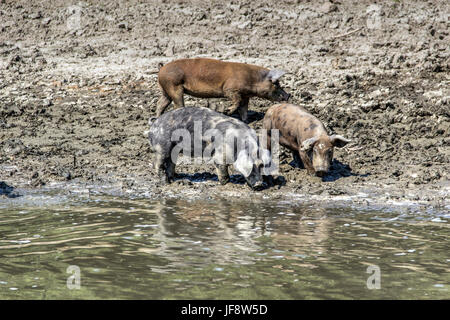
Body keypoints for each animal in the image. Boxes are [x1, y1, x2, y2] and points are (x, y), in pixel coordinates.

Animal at [155, 57, 290, 122]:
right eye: (276, 84)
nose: (288, 96)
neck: (252, 79)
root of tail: (162, 68)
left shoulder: (245, 96)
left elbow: (244, 109)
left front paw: (246, 121)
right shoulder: (230, 89)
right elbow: (237, 102)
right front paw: (227, 111)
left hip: (165, 90)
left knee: (160, 104)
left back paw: (157, 118)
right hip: (174, 86)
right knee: (177, 105)